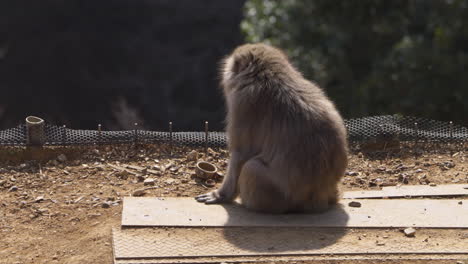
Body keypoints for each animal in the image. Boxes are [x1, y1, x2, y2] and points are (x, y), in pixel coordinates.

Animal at [195, 42, 348, 212]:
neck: (266, 76)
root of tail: (317, 200)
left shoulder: (243, 104)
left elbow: (241, 153)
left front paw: (221, 196)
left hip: (277, 199)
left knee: (251, 168)